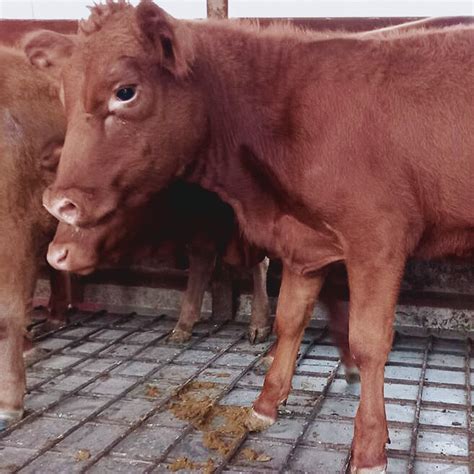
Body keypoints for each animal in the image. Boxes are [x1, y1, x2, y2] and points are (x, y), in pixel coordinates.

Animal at [26, 4, 474, 474]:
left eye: (125, 92)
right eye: (63, 96)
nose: (57, 202)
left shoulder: (377, 241)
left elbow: (369, 343)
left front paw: (369, 448)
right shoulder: (304, 246)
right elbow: (289, 320)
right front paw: (265, 404)